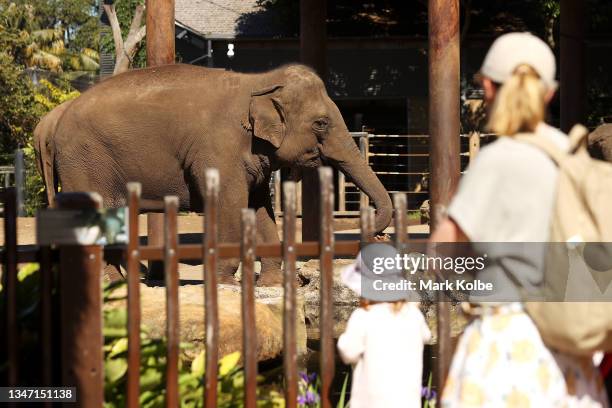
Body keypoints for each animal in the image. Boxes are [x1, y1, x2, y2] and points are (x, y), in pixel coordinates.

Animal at [47, 64, 392, 286]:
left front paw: (270, 284)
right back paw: (108, 284)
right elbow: (230, 203)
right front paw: (230, 283)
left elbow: (260, 209)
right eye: (321, 123)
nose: (377, 234)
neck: (259, 82)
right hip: (83, 164)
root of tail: (55, 120)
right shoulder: (218, 151)